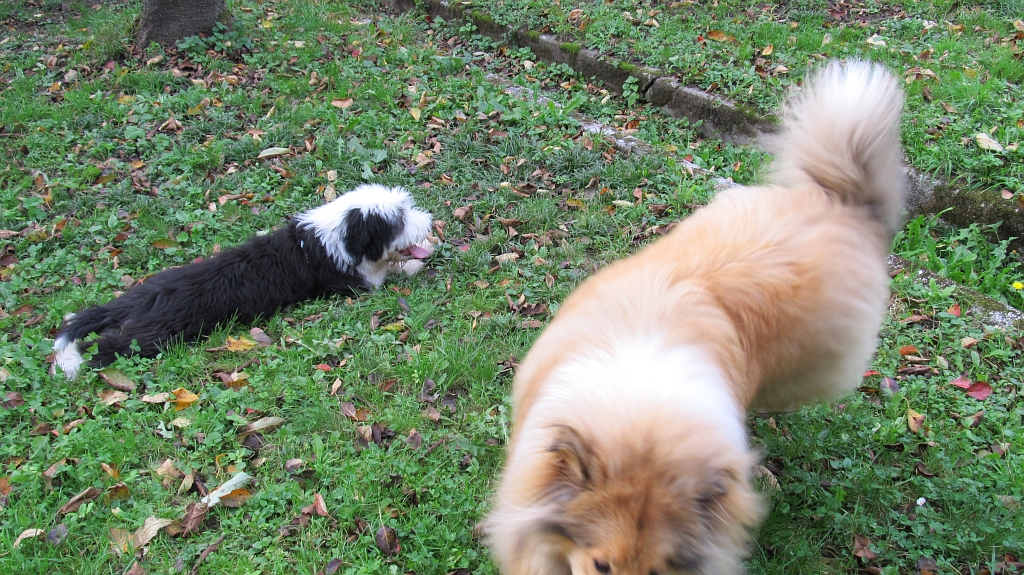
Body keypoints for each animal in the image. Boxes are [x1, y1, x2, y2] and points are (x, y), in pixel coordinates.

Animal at [54, 184, 433, 379]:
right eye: (399, 220)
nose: (428, 221)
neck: (331, 237)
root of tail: (144, 298)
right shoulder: (358, 282)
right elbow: (391, 274)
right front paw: (418, 263)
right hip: (149, 338)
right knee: (104, 347)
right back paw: (76, 362)